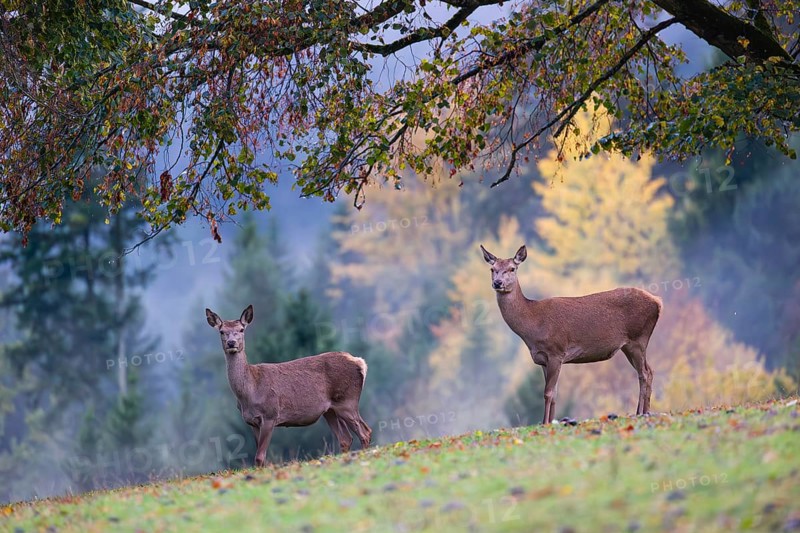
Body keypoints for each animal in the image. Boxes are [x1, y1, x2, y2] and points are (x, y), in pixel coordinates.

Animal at [205, 305, 372, 466]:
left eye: (241, 329)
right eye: (222, 331)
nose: (231, 343)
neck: (250, 391)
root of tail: (360, 362)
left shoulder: (270, 415)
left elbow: (259, 457)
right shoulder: (251, 422)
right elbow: (260, 458)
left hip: (347, 400)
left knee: (365, 432)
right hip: (331, 410)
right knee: (345, 439)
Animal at [480, 245, 663, 425]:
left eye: (512, 268)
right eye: (492, 269)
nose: (497, 283)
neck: (533, 326)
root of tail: (658, 302)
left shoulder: (556, 351)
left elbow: (548, 392)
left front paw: (545, 423)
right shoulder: (543, 359)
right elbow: (554, 393)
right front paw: (551, 421)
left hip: (638, 338)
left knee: (644, 373)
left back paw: (642, 413)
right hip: (628, 346)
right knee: (649, 371)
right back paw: (642, 411)